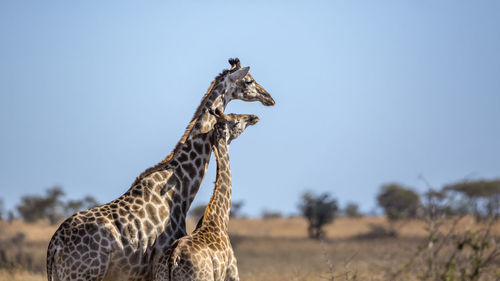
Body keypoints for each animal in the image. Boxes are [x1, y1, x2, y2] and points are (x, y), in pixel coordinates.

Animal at [47, 57, 276, 280]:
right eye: (249, 81)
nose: (269, 98)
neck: (181, 186)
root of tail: (54, 247)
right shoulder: (158, 259)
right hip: (82, 275)